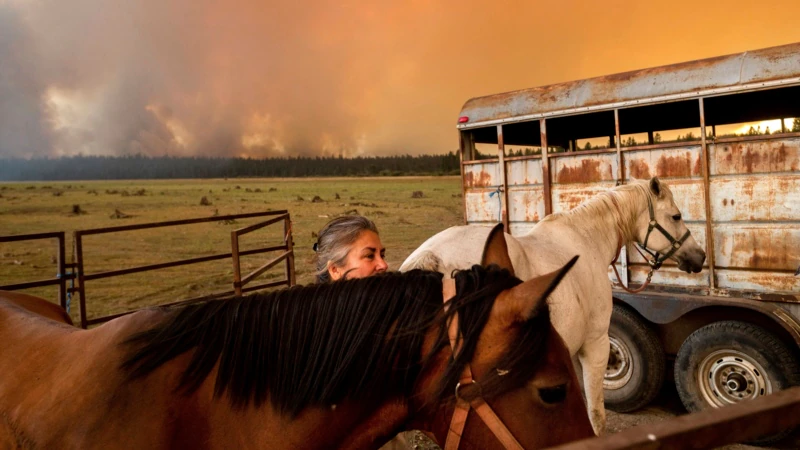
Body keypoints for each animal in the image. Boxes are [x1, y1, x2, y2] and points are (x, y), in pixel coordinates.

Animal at [400, 178, 708, 434]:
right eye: (676, 216)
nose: (699, 257)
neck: (588, 240)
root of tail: (430, 257)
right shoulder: (596, 344)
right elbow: (597, 415)